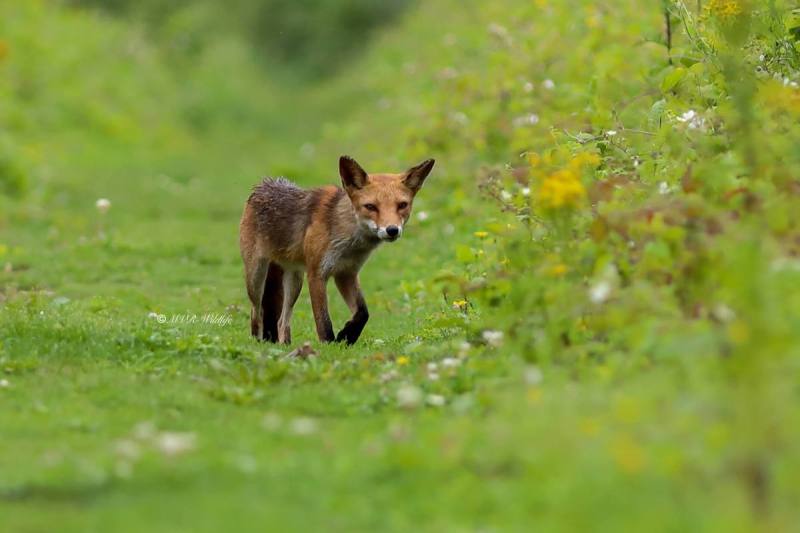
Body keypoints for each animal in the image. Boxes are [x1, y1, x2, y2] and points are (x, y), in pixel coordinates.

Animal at [239, 155, 435, 345]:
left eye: (402, 205)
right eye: (370, 207)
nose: (392, 230)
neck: (348, 239)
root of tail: (264, 184)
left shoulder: (346, 273)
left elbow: (363, 312)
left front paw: (347, 336)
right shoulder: (317, 274)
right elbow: (323, 321)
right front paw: (329, 345)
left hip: (294, 281)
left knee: (282, 321)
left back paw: (284, 345)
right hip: (257, 278)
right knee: (257, 312)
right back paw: (259, 342)